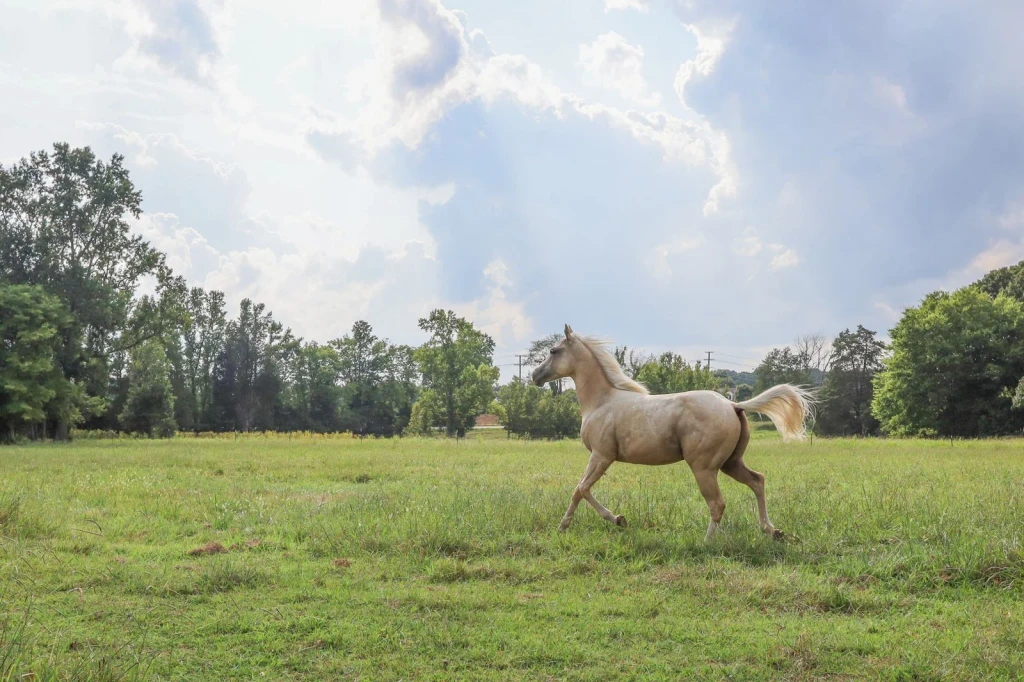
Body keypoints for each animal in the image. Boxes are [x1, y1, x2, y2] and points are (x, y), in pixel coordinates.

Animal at [531, 325, 815, 541]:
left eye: (553, 350)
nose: (535, 375)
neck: (601, 401)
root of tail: (733, 404)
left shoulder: (601, 455)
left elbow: (581, 488)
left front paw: (608, 520)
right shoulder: (601, 457)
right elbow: (581, 489)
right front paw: (580, 524)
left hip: (704, 467)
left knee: (718, 503)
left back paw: (707, 542)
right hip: (731, 463)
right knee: (757, 481)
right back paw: (772, 530)